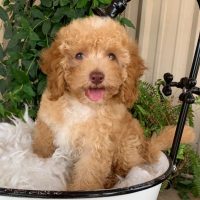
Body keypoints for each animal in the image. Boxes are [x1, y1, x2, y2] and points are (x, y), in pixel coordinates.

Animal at [31, 15, 195, 191]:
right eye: (79, 55)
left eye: (111, 56)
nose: (97, 76)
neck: (83, 105)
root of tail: (145, 148)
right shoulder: (46, 129)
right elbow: (42, 151)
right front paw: (39, 168)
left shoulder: (96, 147)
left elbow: (87, 176)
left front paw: (80, 191)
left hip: (127, 146)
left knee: (124, 170)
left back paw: (110, 181)